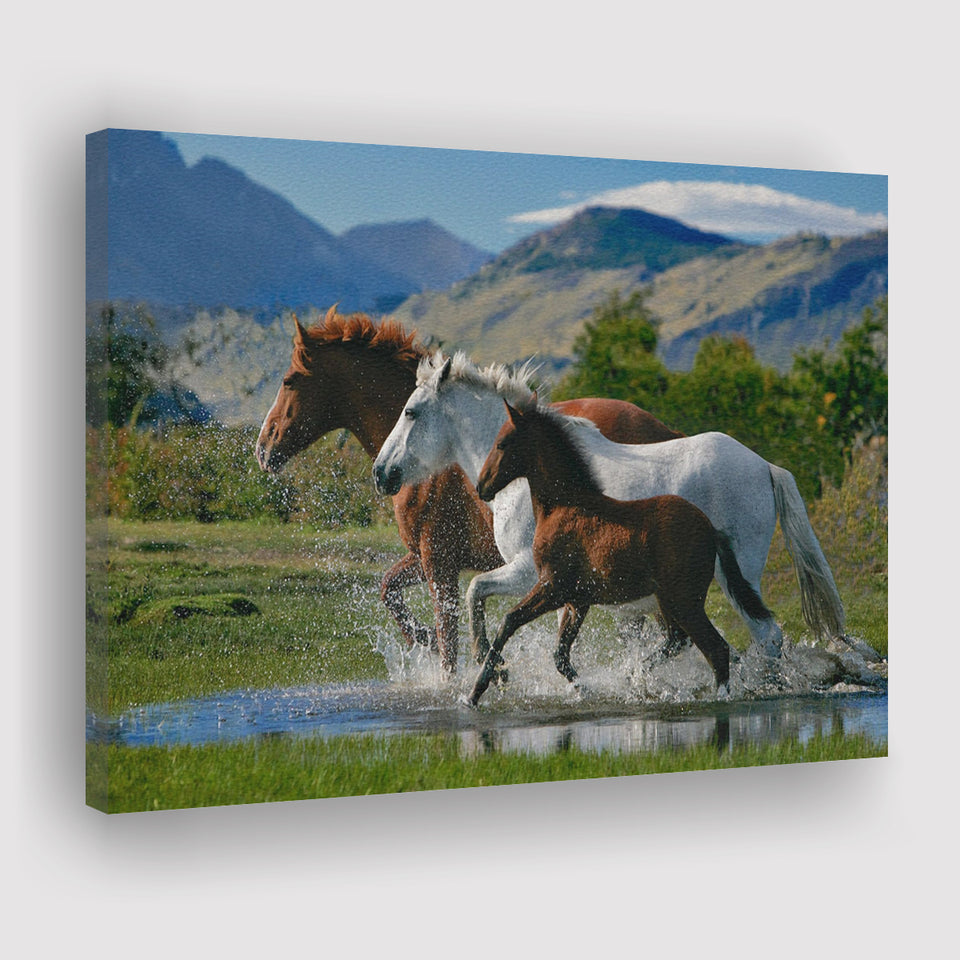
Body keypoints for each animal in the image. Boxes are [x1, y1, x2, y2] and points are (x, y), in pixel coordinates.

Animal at [255, 306, 681, 672]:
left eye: (289, 380)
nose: (263, 449)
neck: (433, 462)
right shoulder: (427, 557)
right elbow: (389, 588)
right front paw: (425, 639)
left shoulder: (439, 561)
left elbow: (448, 641)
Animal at [372, 353, 844, 662]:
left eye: (411, 412)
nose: (381, 472)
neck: (534, 475)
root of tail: (764, 466)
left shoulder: (528, 571)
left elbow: (474, 591)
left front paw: (495, 664)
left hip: (737, 576)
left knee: (766, 635)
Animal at [466, 399, 774, 705]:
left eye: (502, 443)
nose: (482, 487)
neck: (565, 505)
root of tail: (711, 529)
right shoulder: (578, 600)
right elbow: (560, 656)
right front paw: (585, 689)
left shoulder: (552, 587)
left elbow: (509, 621)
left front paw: (476, 691)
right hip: (669, 601)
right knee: (680, 640)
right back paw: (638, 677)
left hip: (684, 601)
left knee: (717, 648)